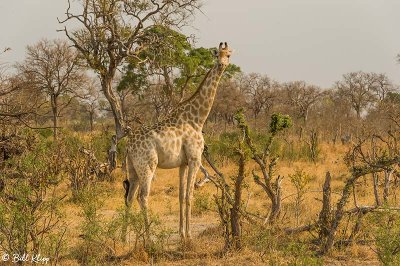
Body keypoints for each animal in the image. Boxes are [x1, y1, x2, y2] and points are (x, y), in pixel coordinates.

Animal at [123, 42, 233, 239]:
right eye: (216, 55)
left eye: (228, 55)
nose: (221, 65)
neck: (197, 119)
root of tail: (128, 145)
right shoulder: (195, 159)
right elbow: (190, 195)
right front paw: (189, 235)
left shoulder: (183, 163)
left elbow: (181, 195)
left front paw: (181, 233)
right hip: (147, 165)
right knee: (143, 197)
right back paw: (149, 239)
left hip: (133, 168)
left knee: (129, 197)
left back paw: (122, 238)